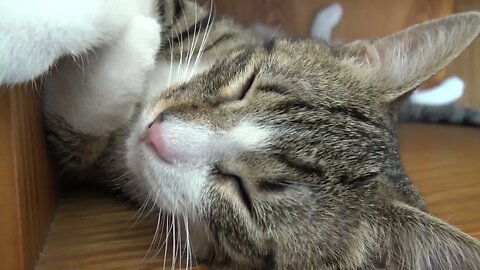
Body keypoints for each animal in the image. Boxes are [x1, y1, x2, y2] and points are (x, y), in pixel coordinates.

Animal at [38, 1, 480, 268]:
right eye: (247, 85)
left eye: (242, 192)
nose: (157, 131)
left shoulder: (98, 163)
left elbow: (81, 127)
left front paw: (132, 33)